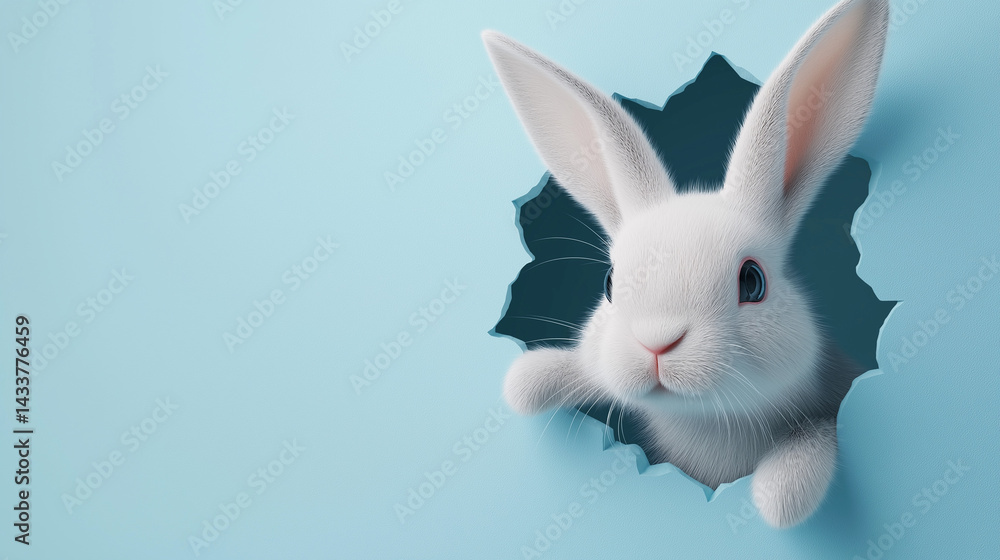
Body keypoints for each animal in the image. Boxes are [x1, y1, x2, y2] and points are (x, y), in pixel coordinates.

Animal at [482, 0, 888, 529]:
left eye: (752, 281)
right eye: (610, 283)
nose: (658, 342)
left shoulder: (825, 403)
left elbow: (813, 440)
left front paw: (780, 494)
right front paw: (531, 381)